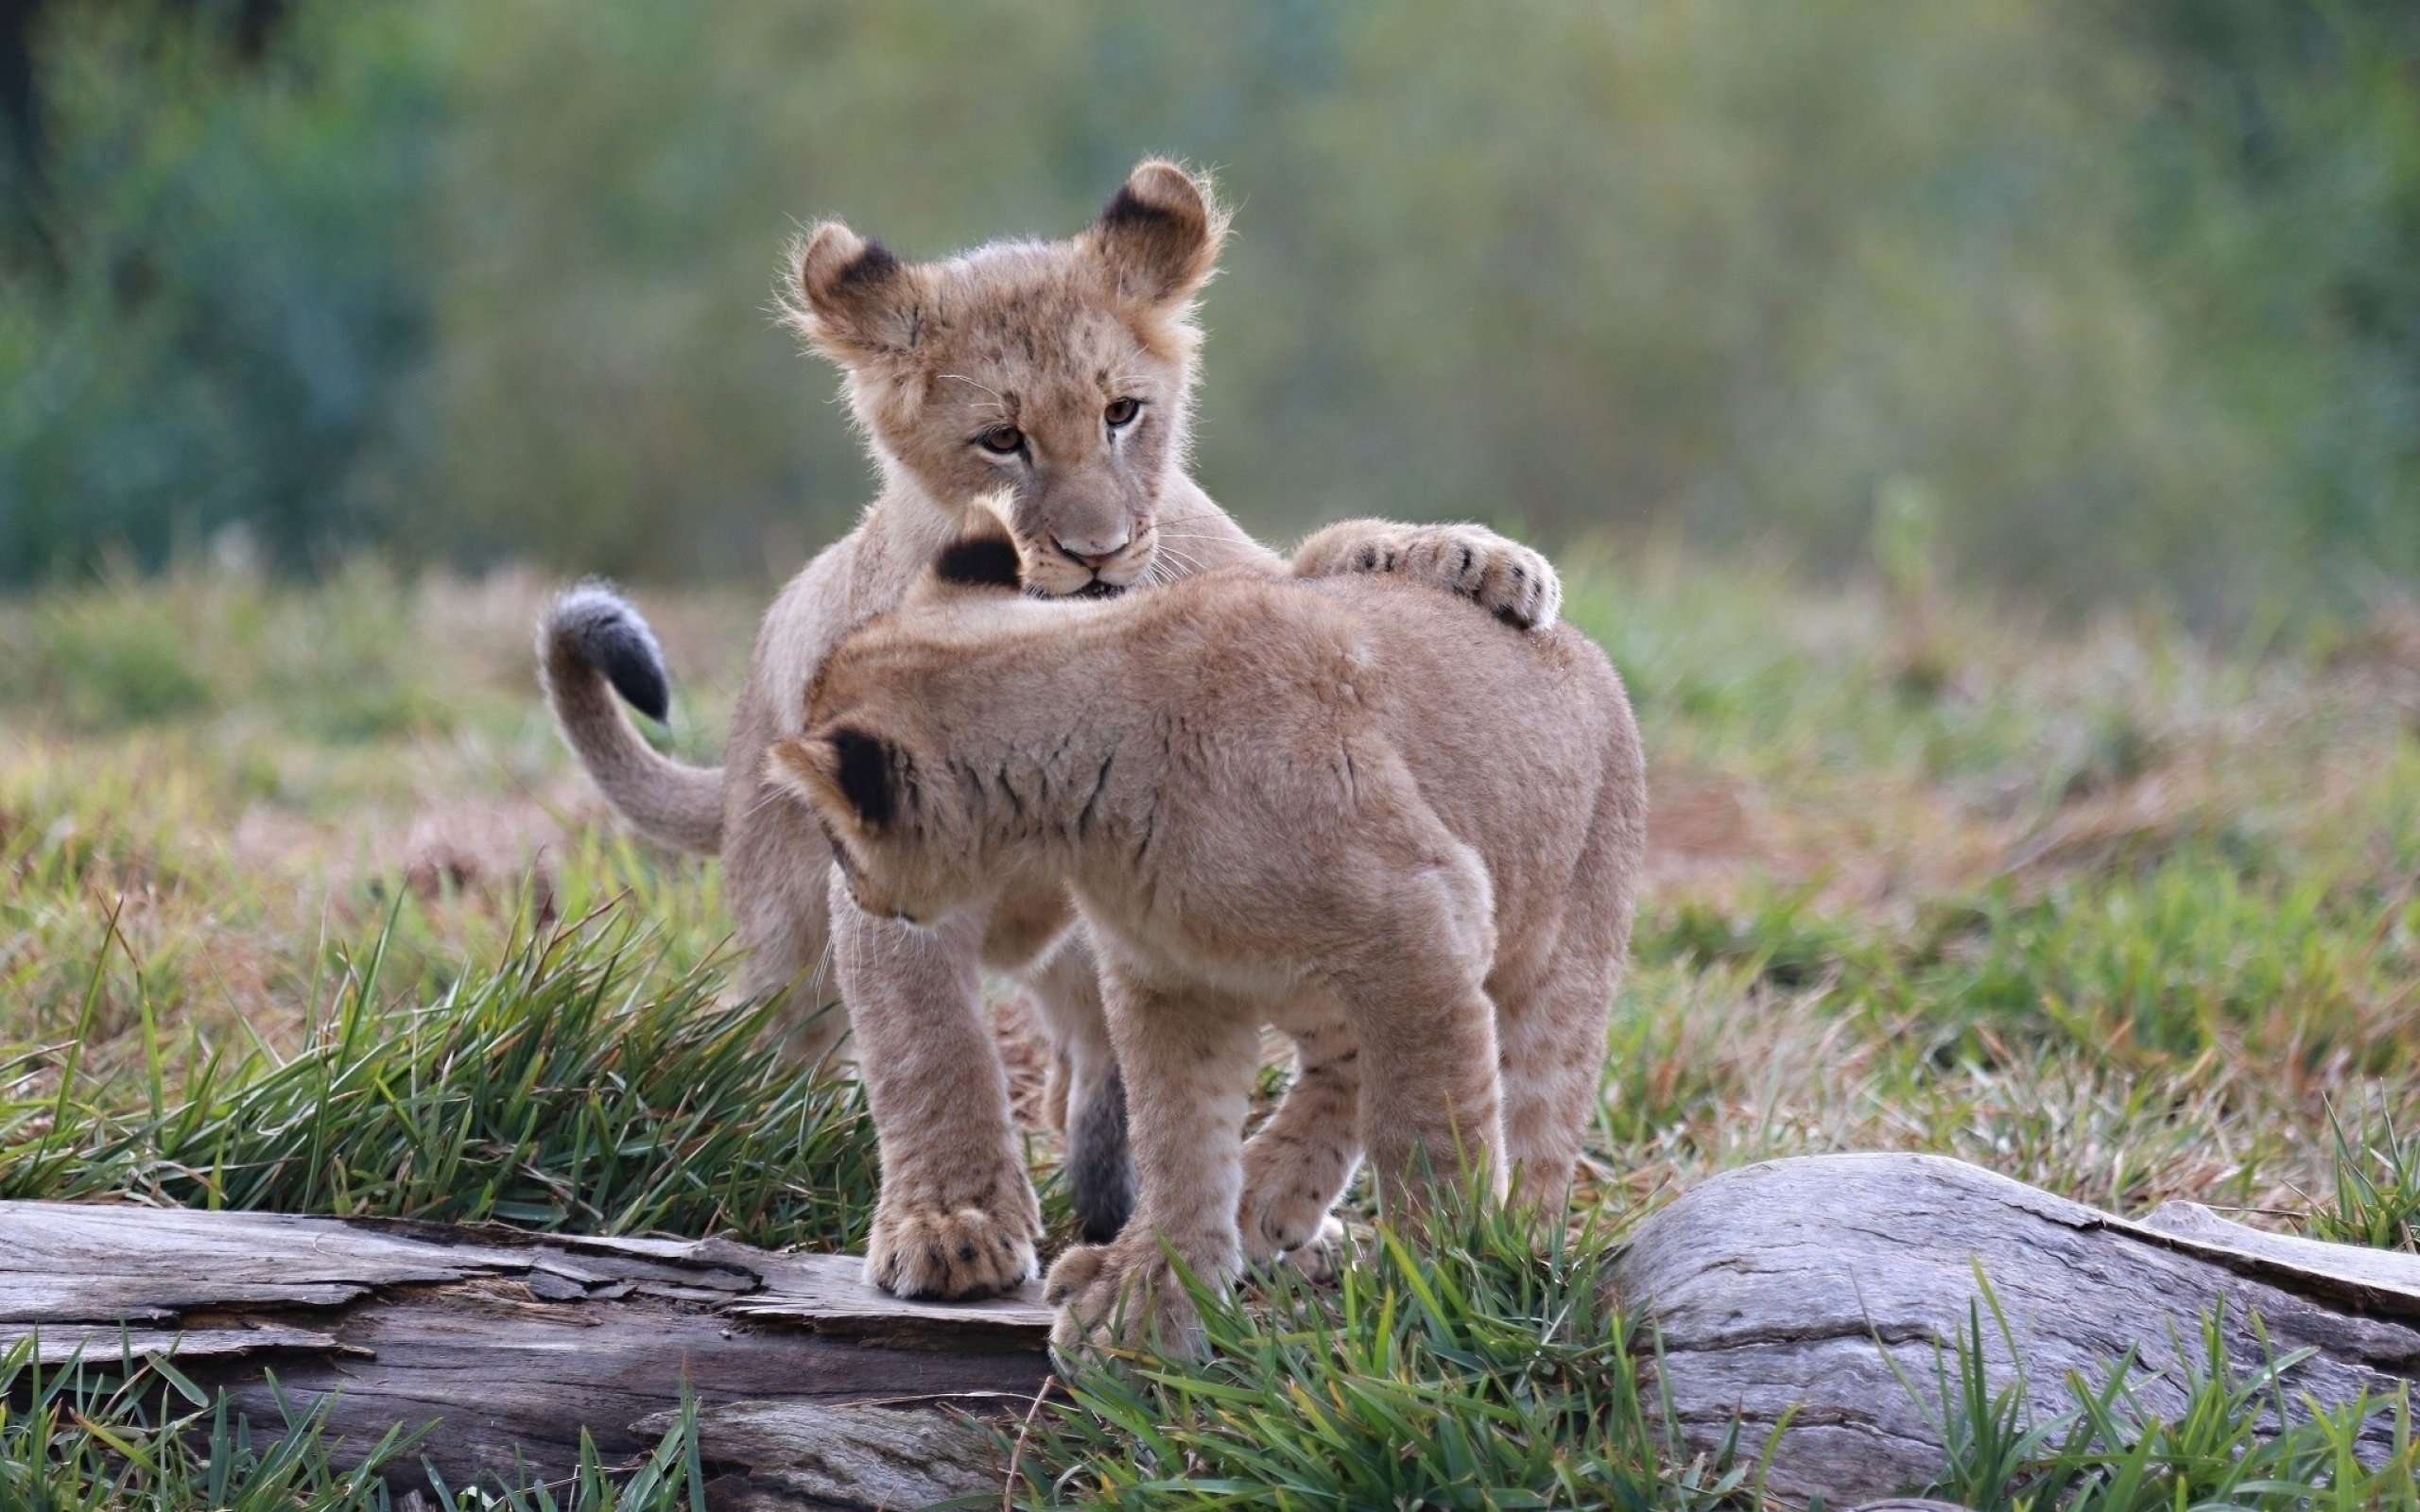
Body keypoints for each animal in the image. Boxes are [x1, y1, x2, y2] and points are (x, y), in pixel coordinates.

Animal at [539, 158, 1564, 1300]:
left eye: (1123, 412)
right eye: (1002, 439)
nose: (1098, 552)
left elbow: (1323, 558)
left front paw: (1476, 559)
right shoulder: (887, 856)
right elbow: (930, 1047)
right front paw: (950, 1226)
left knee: (1094, 1065)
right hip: (787, 940)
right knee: (779, 1034)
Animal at [763, 507, 1647, 1354]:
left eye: (837, 837)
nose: (857, 892)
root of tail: (1590, 650)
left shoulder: (1424, 917)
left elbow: (1426, 1128)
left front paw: (1443, 1283)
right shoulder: (1169, 979)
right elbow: (1179, 1136)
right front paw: (1147, 1297)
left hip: (1557, 954)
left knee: (1538, 1108)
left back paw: (1517, 1250)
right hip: (1307, 985)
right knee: (1341, 1065)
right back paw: (1266, 1198)